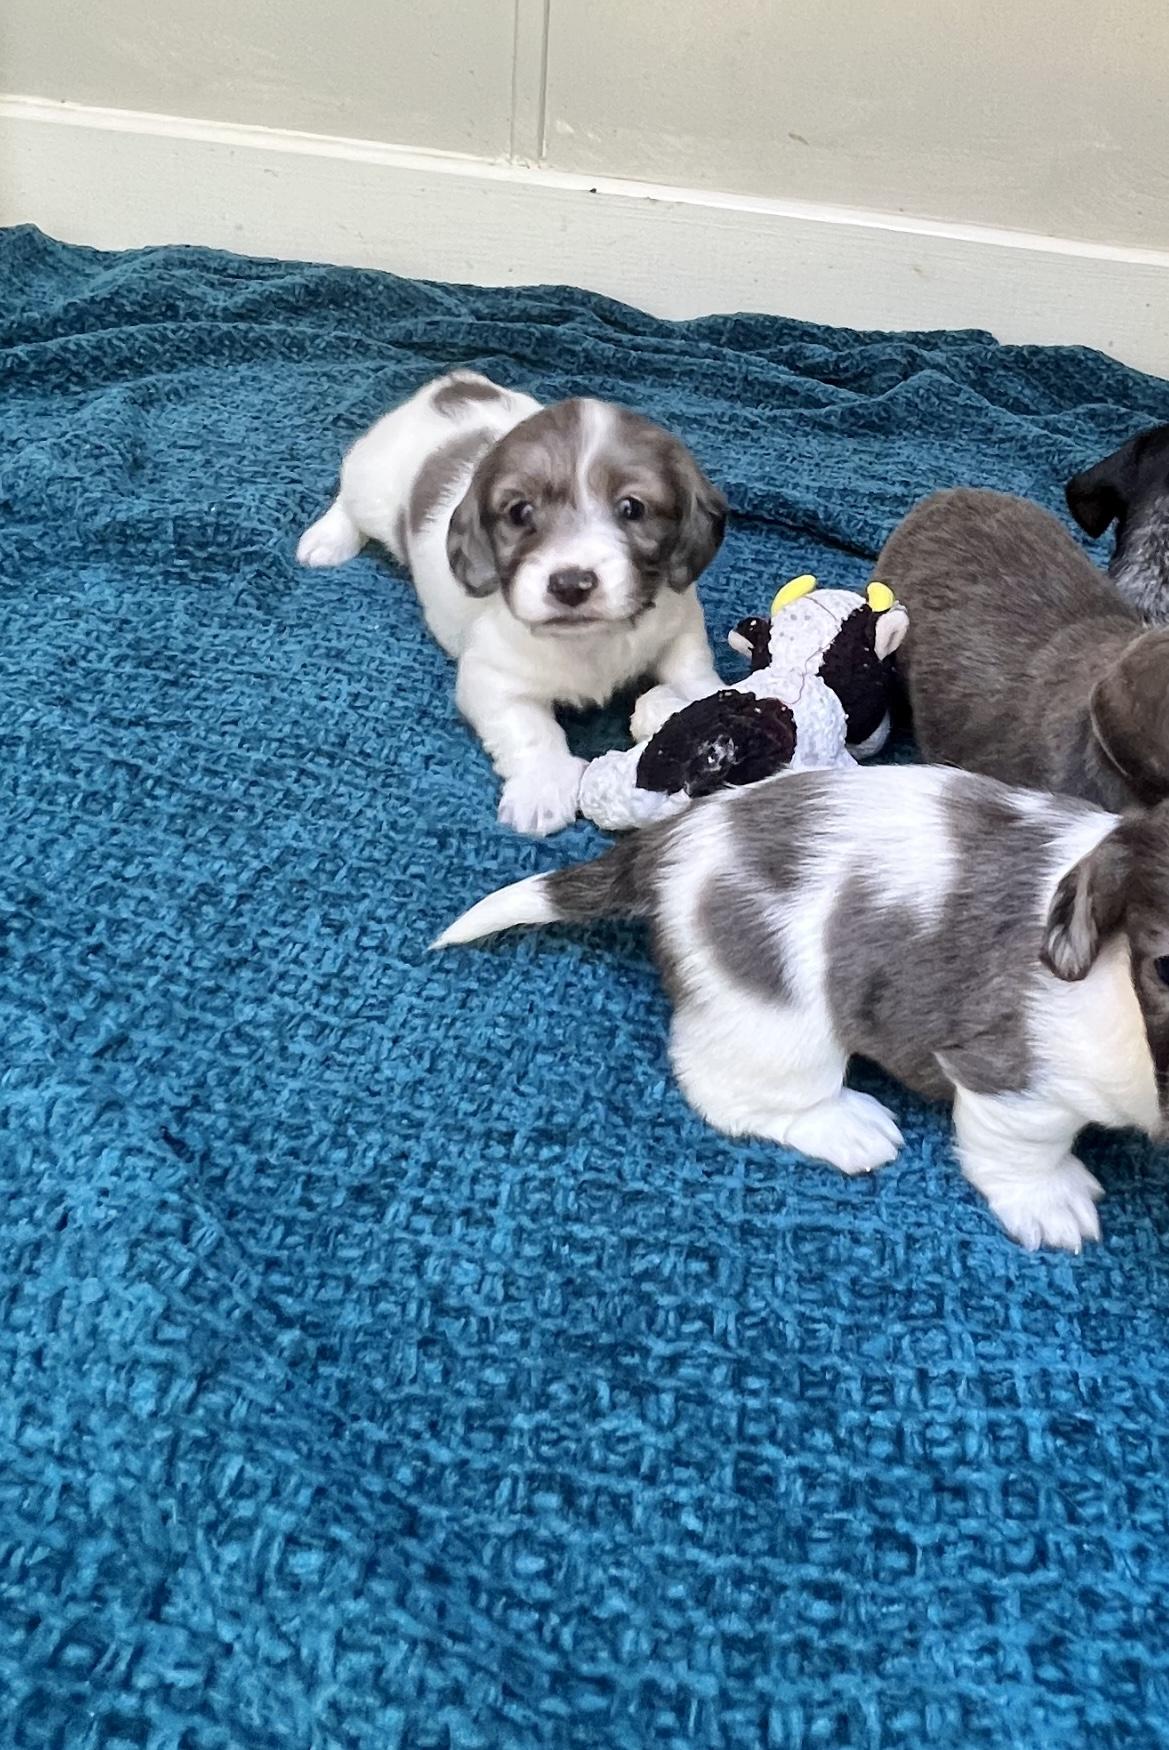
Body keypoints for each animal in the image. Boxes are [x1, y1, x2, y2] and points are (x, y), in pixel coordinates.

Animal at [297, 371, 727, 835]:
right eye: (520, 512)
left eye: (632, 508)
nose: (571, 584)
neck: (591, 640)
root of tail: (455, 383)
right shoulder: (491, 678)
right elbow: (531, 730)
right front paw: (542, 785)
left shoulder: (679, 623)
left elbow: (691, 668)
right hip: (371, 483)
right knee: (348, 499)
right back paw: (328, 539)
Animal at [434, 763, 1169, 1250]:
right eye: (1162, 967)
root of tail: (676, 839)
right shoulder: (1013, 1079)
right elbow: (1025, 1149)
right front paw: (1049, 1198)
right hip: (780, 1025)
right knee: (724, 1089)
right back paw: (843, 1124)